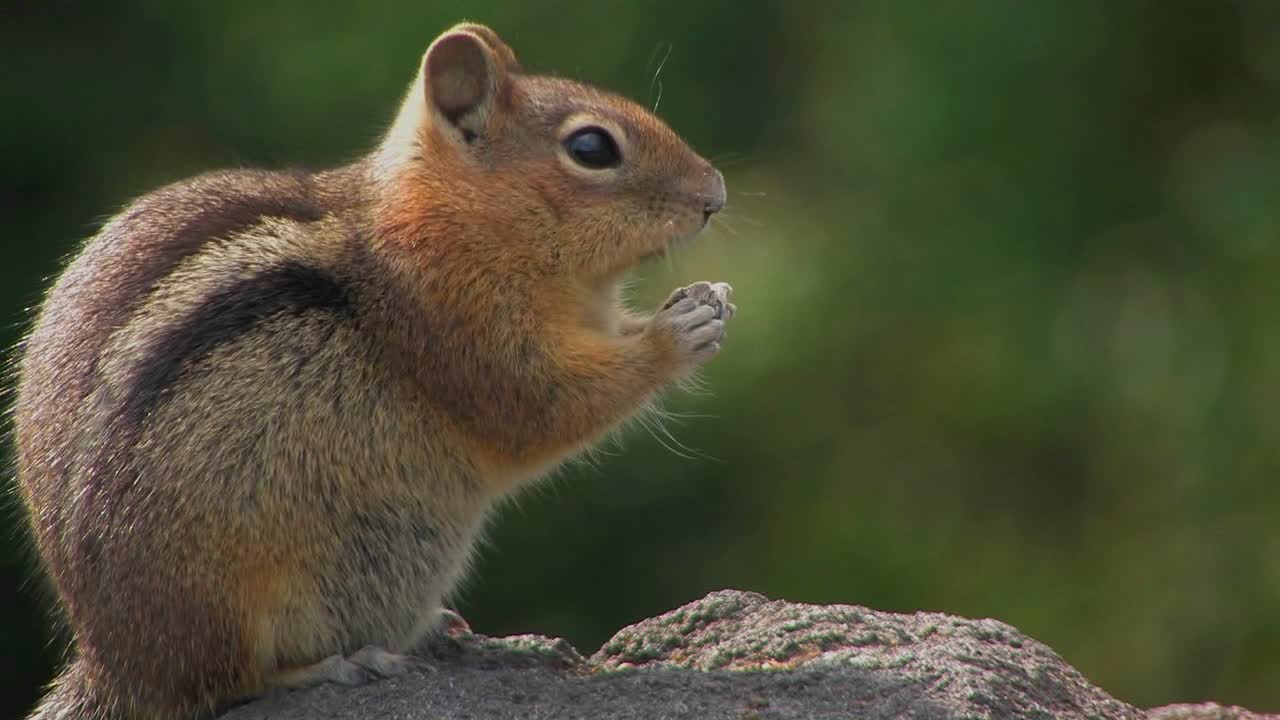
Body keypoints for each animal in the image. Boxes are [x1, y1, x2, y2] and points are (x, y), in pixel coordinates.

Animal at [14, 22, 733, 720]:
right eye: (591, 148)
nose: (716, 195)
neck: (460, 222)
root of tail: (112, 666)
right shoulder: (463, 329)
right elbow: (542, 409)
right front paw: (679, 333)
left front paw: (711, 298)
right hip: (225, 590)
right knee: (224, 684)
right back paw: (332, 665)